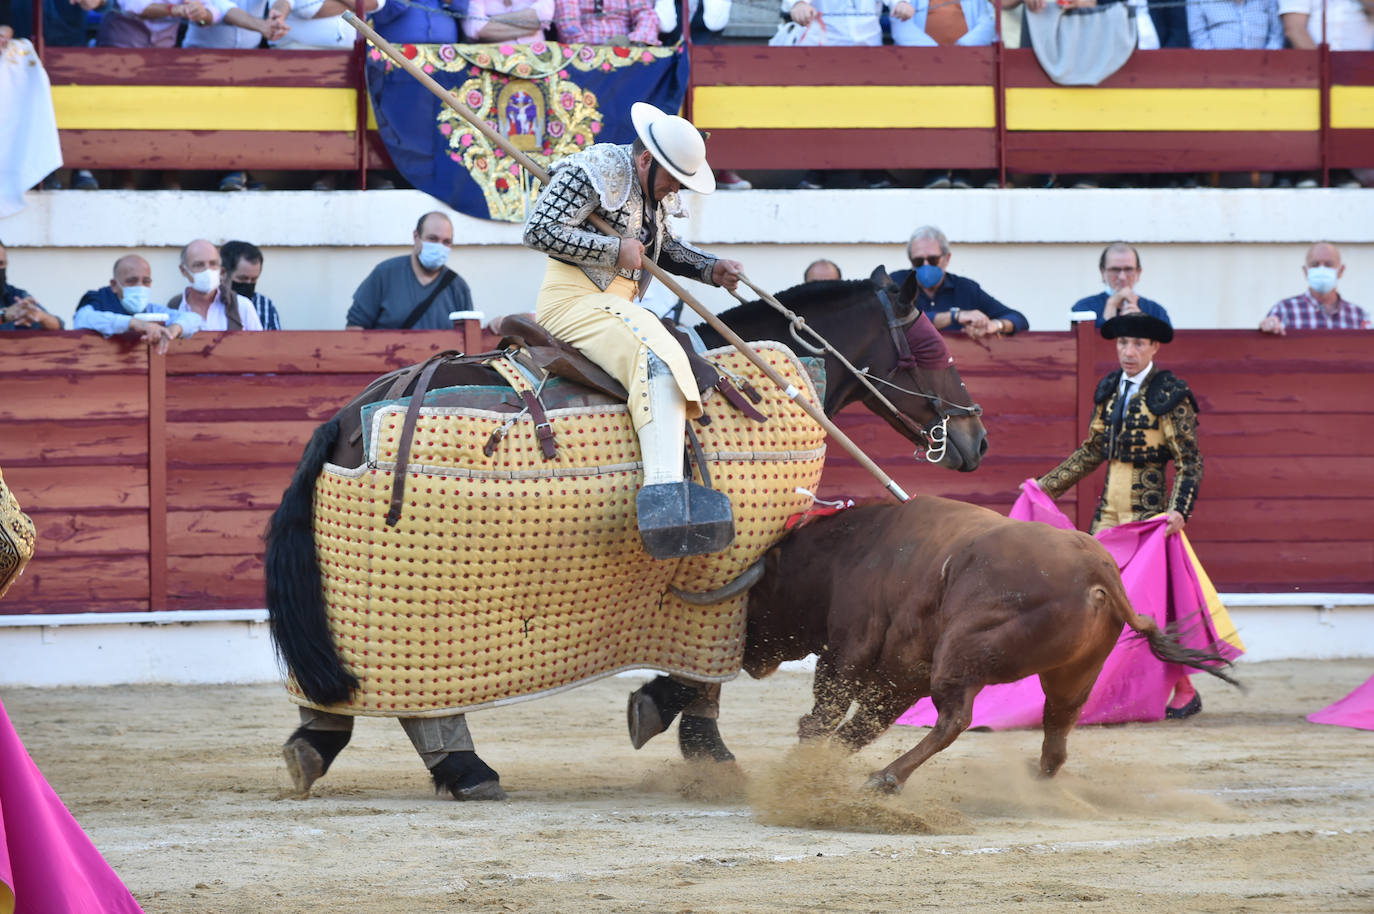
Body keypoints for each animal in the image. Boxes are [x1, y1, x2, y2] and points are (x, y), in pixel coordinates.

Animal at [262, 265, 983, 797]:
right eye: (933, 347)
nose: (976, 438)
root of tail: (350, 415)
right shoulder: (738, 562)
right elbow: (709, 662)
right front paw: (679, 726)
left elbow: (708, 660)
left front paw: (700, 743)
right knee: (420, 696)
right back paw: (464, 769)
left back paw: (314, 746)